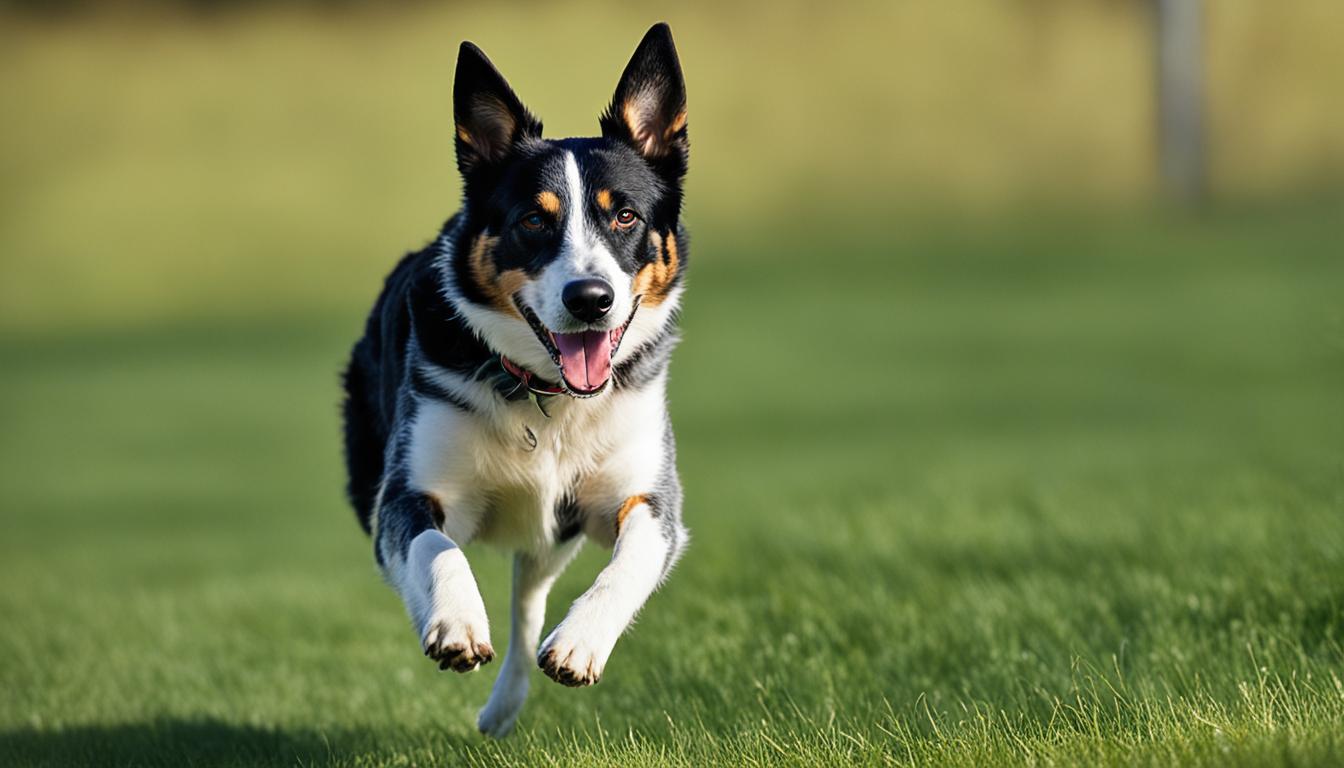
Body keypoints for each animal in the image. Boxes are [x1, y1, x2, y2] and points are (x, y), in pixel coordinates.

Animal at [341, 24, 693, 737]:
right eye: (534, 219)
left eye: (625, 217)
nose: (590, 299)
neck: (547, 395)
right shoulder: (408, 490)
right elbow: (431, 546)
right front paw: (454, 623)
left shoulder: (646, 495)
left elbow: (635, 555)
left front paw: (581, 643)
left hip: (550, 537)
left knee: (529, 608)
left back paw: (507, 704)